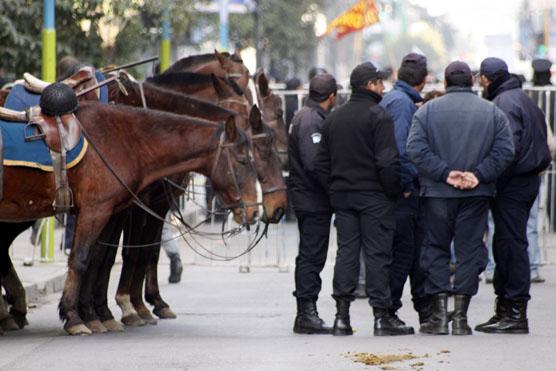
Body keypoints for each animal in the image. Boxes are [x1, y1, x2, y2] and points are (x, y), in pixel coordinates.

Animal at [0, 100, 258, 336]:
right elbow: (81, 259)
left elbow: (99, 258)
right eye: (242, 160)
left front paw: (96, 315)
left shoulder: (110, 213)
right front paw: (74, 317)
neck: (124, 141)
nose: (254, 212)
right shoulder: (95, 211)